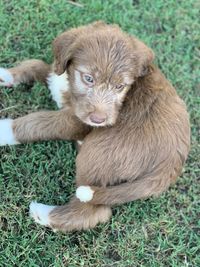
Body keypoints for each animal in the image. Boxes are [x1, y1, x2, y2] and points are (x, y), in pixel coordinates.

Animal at [0, 21, 191, 232]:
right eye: (88, 78)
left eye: (120, 87)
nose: (99, 120)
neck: (70, 88)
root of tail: (171, 166)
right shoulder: (57, 76)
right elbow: (37, 65)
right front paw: (6, 74)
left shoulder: (76, 122)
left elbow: (40, 122)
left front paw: (4, 130)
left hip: (99, 152)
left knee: (94, 211)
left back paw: (43, 214)